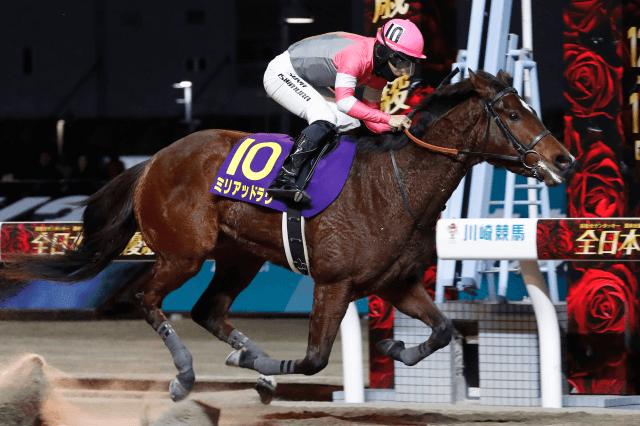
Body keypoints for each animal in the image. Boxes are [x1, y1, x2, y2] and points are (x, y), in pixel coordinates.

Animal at [0, 70, 576, 403]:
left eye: (528, 106)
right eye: (511, 112)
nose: (563, 158)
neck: (393, 185)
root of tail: (152, 162)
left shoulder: (396, 283)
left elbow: (443, 331)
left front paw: (392, 345)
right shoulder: (334, 283)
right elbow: (317, 358)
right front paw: (266, 368)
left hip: (239, 257)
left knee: (209, 310)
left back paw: (249, 365)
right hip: (184, 254)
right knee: (147, 299)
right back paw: (187, 376)